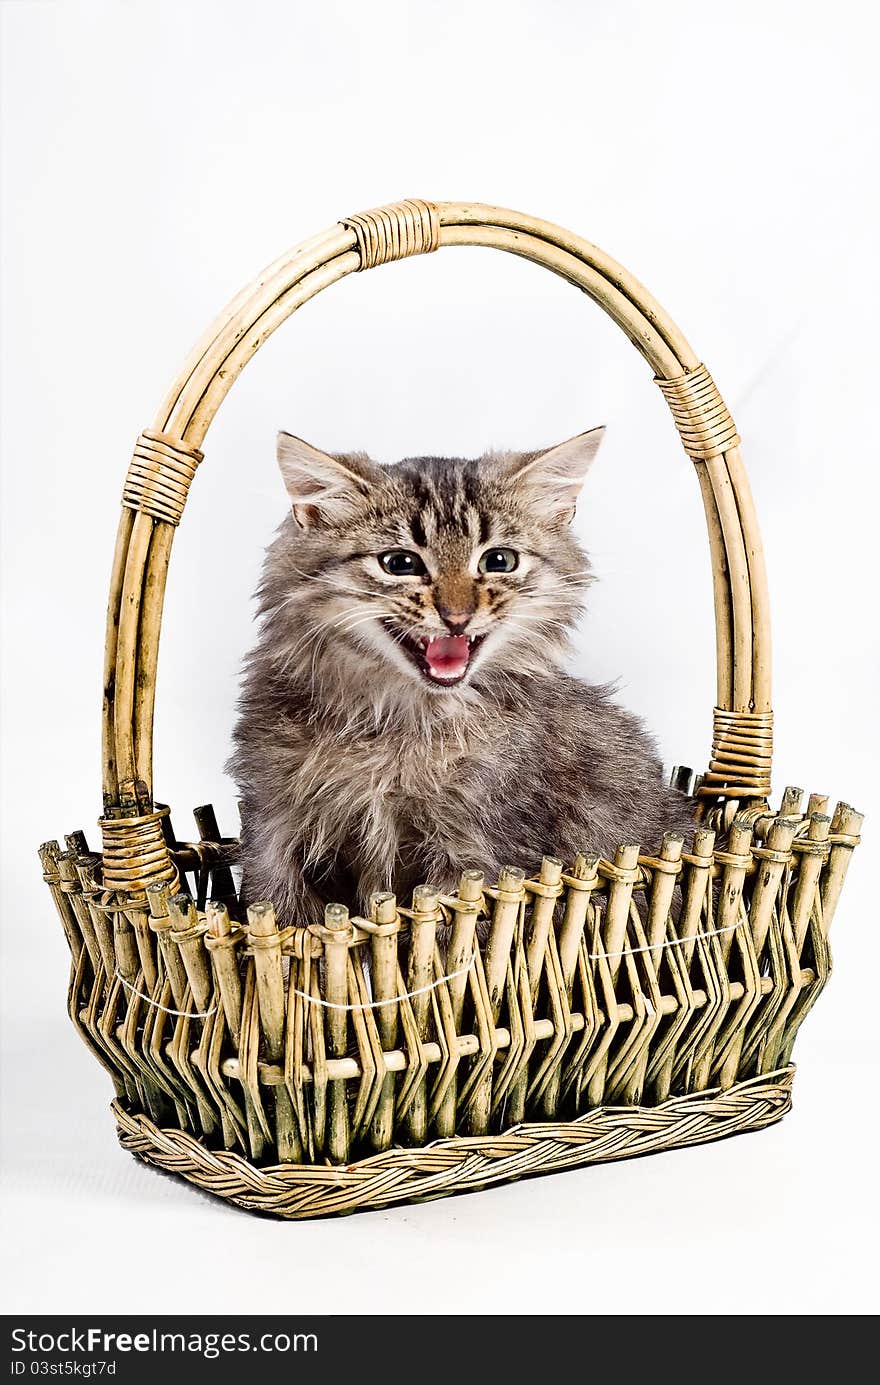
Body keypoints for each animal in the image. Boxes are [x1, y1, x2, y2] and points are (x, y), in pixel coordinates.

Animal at [230, 426, 698, 925]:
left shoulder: (479, 851)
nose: (457, 617)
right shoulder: (271, 826)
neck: (394, 720)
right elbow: (280, 913)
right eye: (400, 563)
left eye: (499, 561)